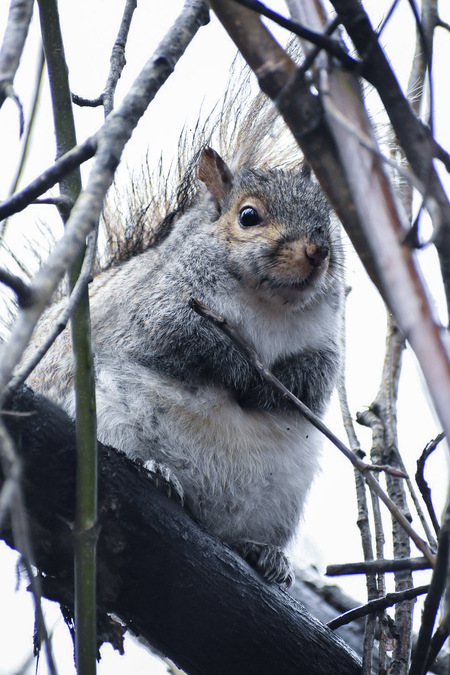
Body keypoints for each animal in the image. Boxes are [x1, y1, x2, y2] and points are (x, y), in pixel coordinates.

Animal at [23, 87, 344, 588]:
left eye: (326, 221)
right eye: (248, 216)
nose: (318, 252)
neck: (268, 304)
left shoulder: (324, 344)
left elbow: (315, 380)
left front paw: (278, 387)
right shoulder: (156, 311)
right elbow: (185, 343)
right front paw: (245, 375)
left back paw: (263, 554)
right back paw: (155, 471)